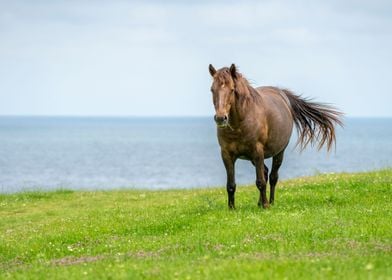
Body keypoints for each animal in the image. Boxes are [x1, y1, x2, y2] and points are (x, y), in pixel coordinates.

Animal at [208, 63, 344, 208]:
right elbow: (231, 185)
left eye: (232, 89)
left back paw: (271, 202)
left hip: (278, 152)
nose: (220, 118)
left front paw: (266, 206)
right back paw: (260, 202)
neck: (240, 123)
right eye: (212, 90)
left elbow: (260, 182)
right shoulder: (227, 154)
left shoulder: (257, 151)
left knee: (273, 177)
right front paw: (232, 208)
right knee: (266, 172)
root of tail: (282, 93)